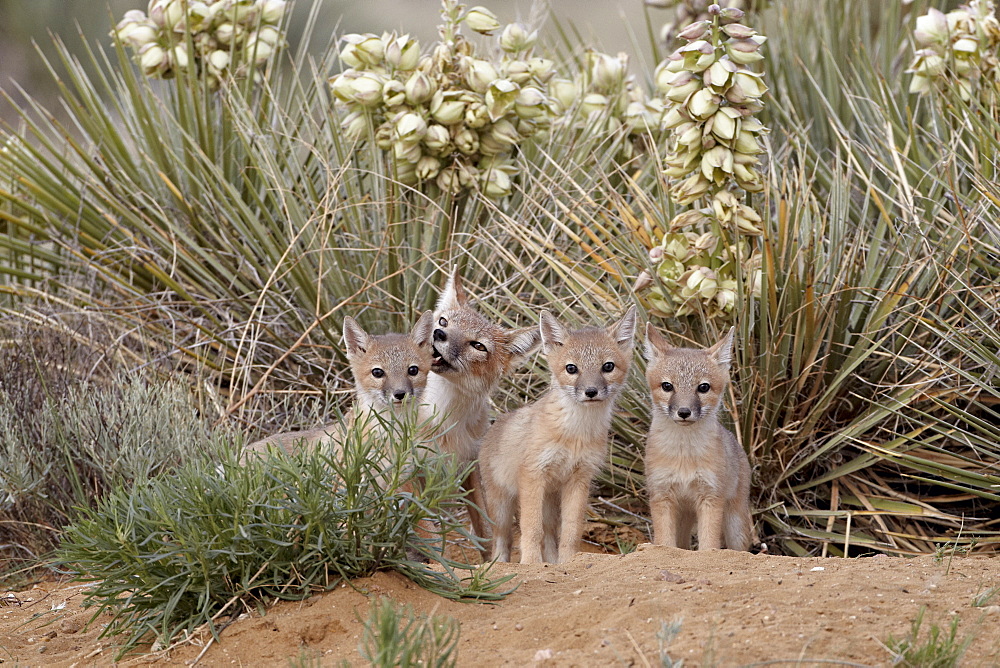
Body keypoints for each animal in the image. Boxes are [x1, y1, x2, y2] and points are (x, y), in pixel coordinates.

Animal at [422, 268, 548, 544]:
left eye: (478, 345)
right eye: (443, 322)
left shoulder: (470, 466)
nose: (439, 334)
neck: (444, 418)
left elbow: (486, 530)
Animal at [480, 306, 636, 560]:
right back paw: (500, 563)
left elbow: (571, 532)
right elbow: (531, 529)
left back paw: (552, 562)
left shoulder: (580, 478)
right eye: (571, 368)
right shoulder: (533, 474)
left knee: (550, 536)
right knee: (502, 541)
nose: (590, 391)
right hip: (502, 508)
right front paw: (530, 562)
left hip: (550, 503)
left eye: (608, 367)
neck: (575, 434)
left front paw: (568, 562)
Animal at [640, 326, 752, 552]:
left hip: (734, 525)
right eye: (667, 386)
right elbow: (665, 543)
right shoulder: (661, 496)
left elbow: (708, 545)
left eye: (703, 387)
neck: (684, 456)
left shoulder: (711, 497)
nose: (684, 412)